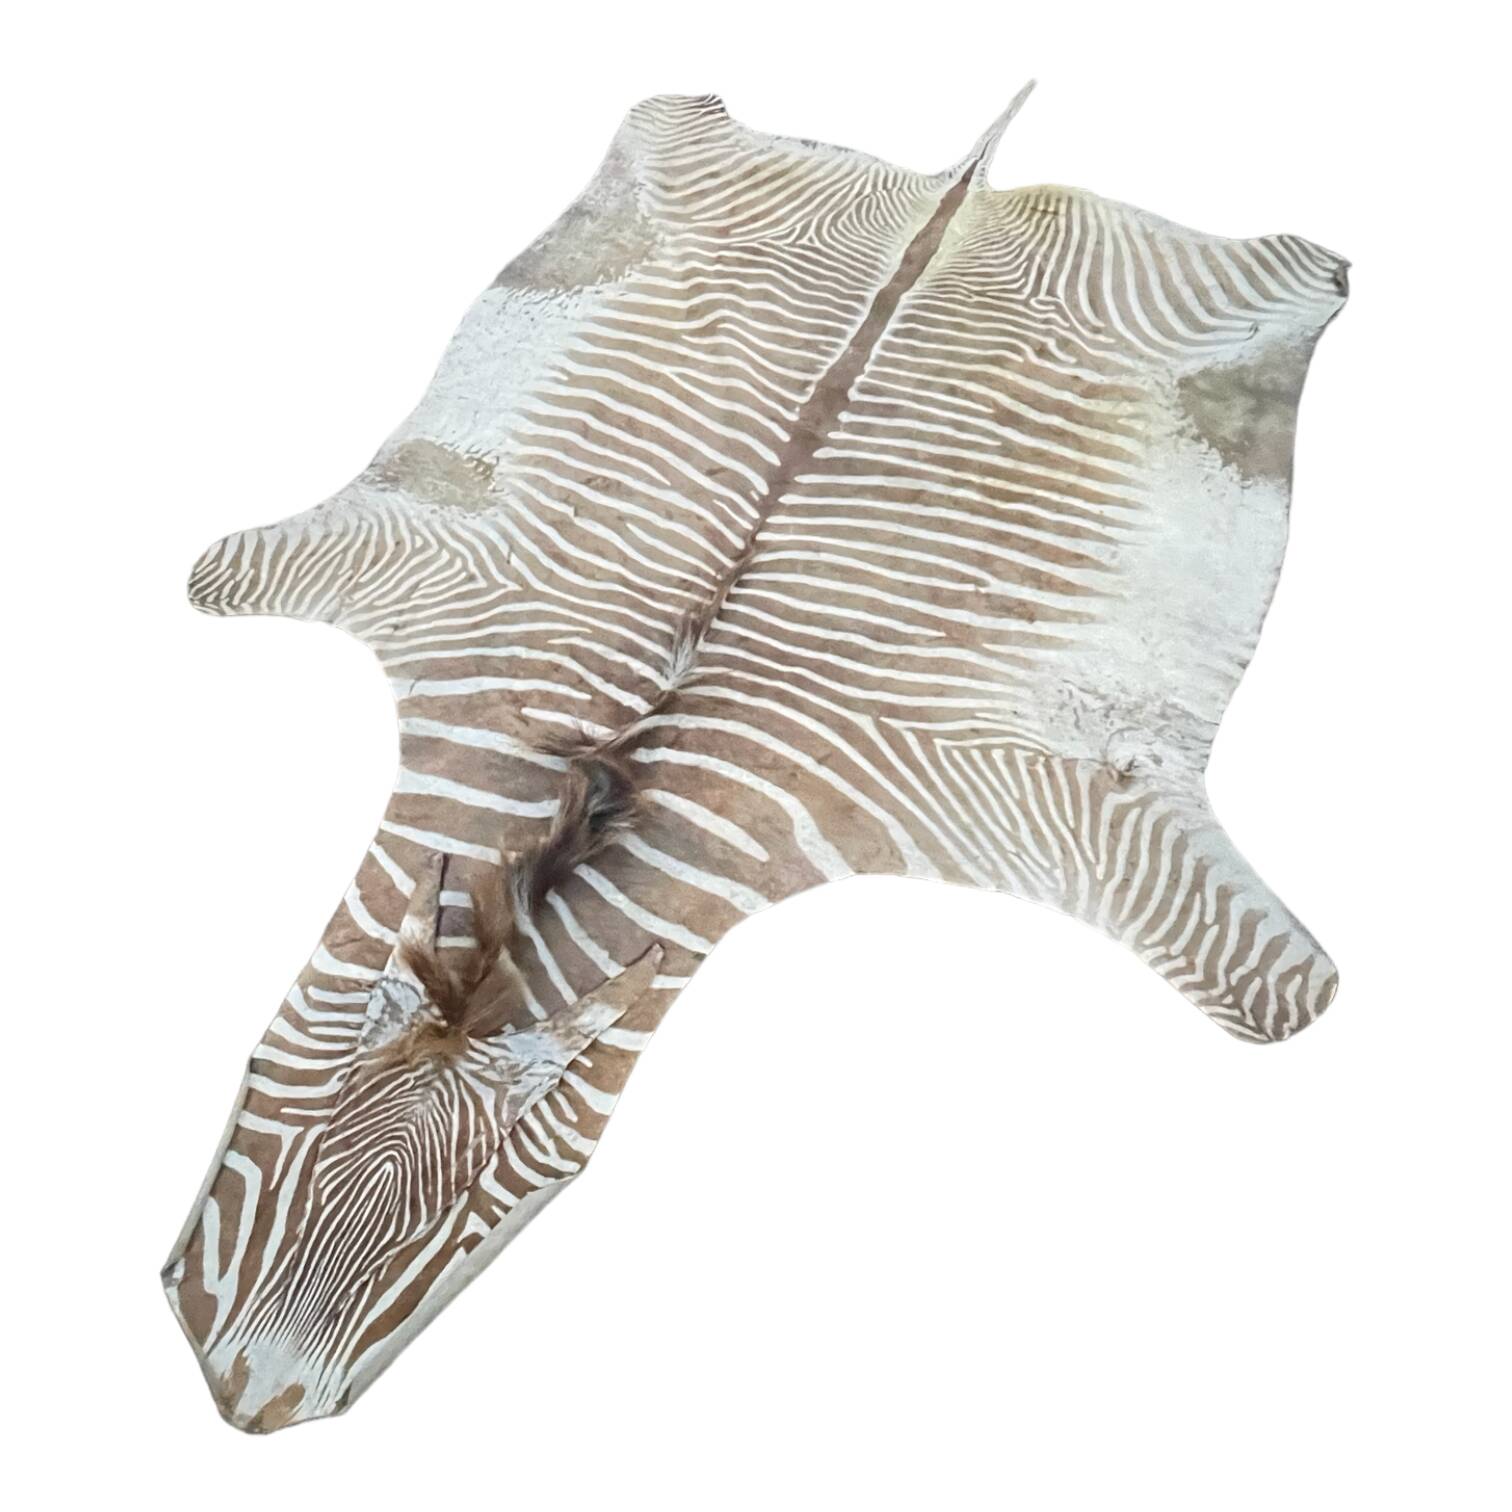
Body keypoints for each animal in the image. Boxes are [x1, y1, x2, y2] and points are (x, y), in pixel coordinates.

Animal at [163, 87, 1348, 1431]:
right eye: (265, 1088)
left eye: (477, 1228)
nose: (249, 1400)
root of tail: (953, 191)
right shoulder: (406, 568)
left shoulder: (1065, 810)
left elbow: (1285, 995)